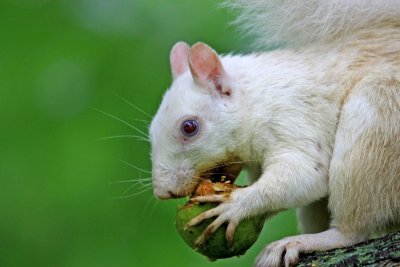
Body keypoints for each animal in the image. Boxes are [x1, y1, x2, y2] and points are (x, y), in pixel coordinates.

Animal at [149, 1, 400, 266]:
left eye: (189, 127)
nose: (163, 193)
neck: (256, 99)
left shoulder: (293, 118)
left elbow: (304, 175)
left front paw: (236, 205)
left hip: (375, 122)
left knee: (355, 230)